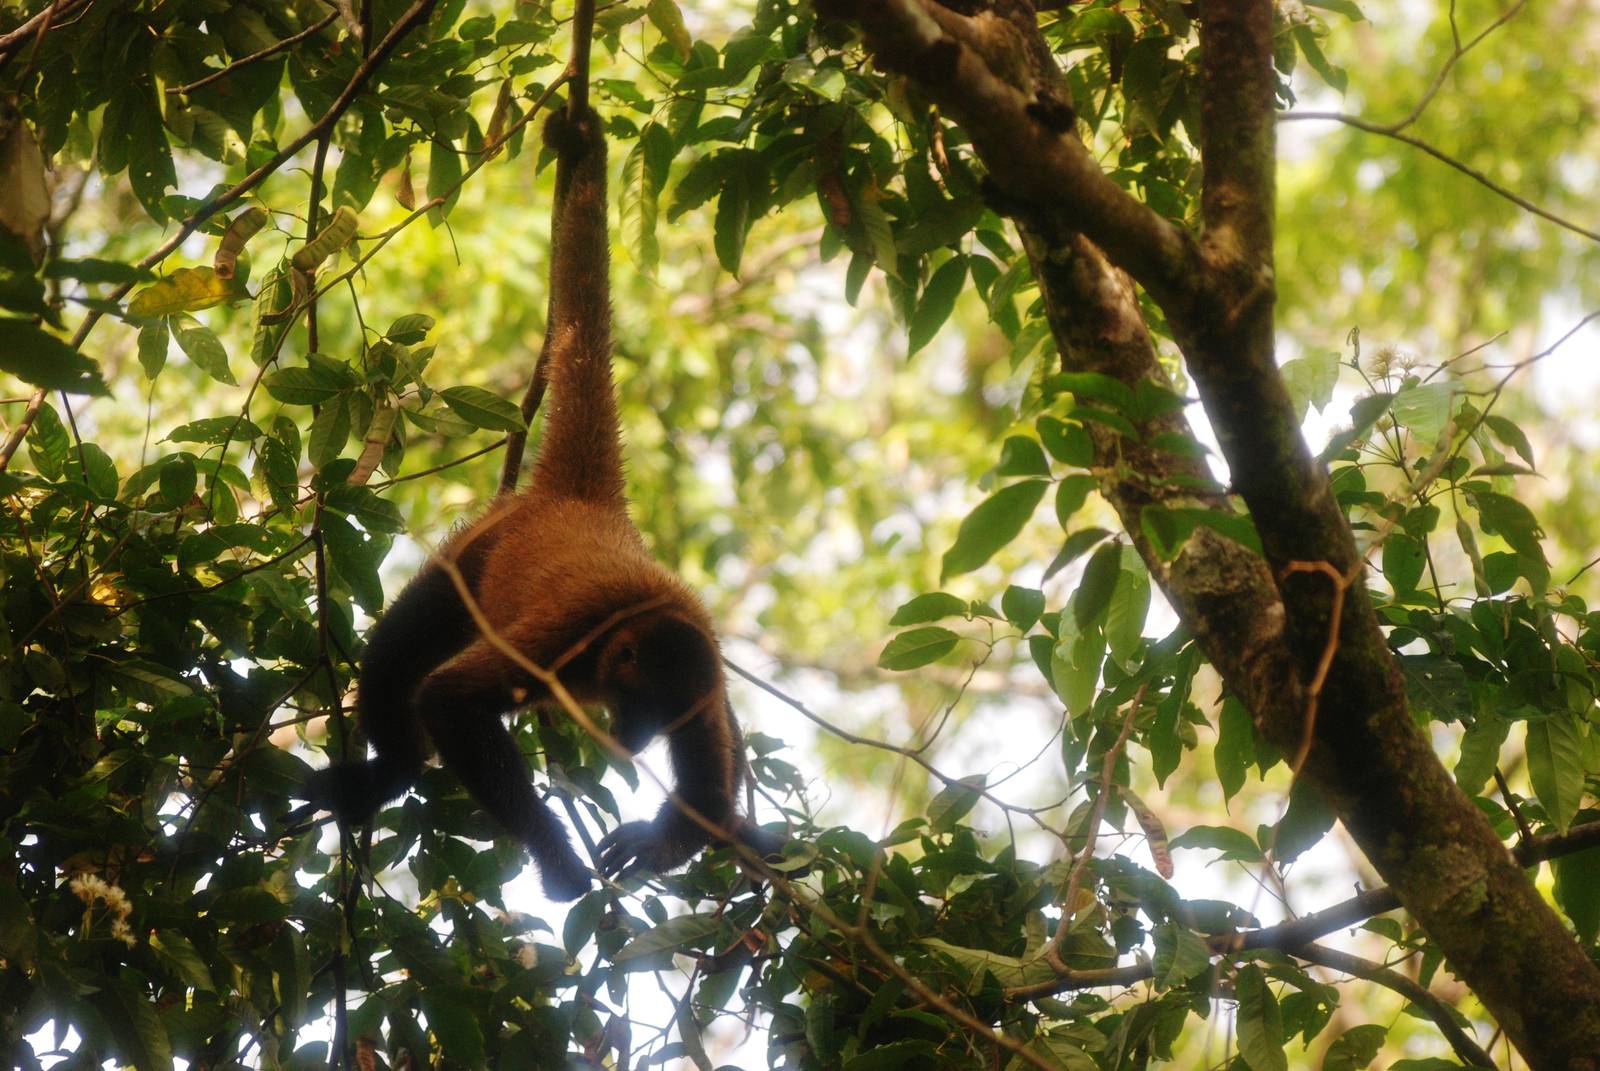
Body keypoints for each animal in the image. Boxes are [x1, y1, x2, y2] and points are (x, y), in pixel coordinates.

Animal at [300, 104, 775, 901]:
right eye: (640, 708)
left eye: (660, 720)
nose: (635, 741)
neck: (632, 626)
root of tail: (581, 499)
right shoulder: (572, 634)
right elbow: (448, 699)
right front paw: (559, 862)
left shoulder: (704, 675)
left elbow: (708, 799)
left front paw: (650, 842)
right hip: (479, 548)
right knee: (401, 649)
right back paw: (391, 771)